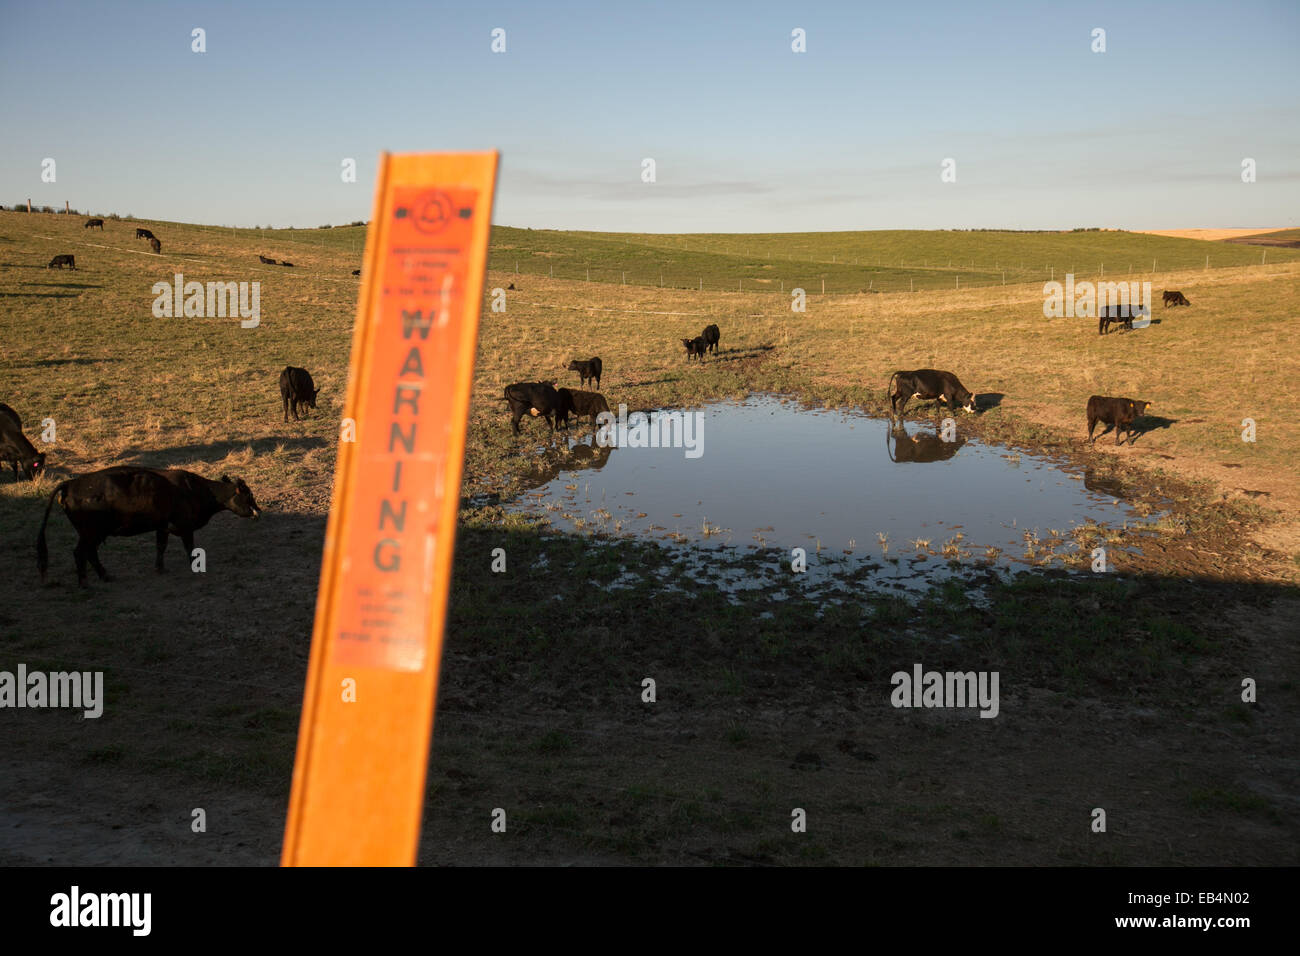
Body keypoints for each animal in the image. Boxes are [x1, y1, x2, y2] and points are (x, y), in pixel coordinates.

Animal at [36, 468, 261, 587]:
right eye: (249, 495)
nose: (258, 512)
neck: (192, 490)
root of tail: (70, 484)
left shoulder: (162, 527)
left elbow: (160, 547)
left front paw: (159, 568)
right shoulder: (185, 528)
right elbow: (190, 548)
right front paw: (195, 567)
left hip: (92, 534)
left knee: (89, 553)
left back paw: (104, 576)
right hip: (91, 533)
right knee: (81, 553)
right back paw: (85, 583)